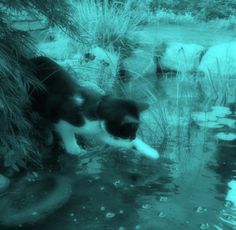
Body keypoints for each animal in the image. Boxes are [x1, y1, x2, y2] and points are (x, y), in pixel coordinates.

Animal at [29, 56, 159, 159]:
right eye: (131, 130)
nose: (133, 137)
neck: (97, 111)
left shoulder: (100, 130)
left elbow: (112, 140)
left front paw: (151, 152)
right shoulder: (62, 122)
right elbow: (69, 138)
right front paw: (75, 150)